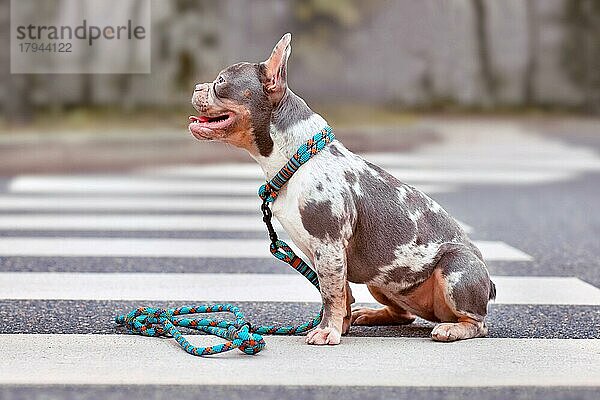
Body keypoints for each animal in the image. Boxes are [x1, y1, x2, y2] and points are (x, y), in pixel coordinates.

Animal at [189, 34, 496, 346]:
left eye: (220, 82)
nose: (197, 86)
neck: (298, 159)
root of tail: (489, 283)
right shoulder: (327, 254)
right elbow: (341, 292)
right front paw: (341, 326)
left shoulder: (328, 245)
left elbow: (331, 293)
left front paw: (327, 330)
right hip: (380, 277)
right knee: (403, 313)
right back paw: (372, 314)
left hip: (455, 268)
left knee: (477, 323)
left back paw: (452, 329)